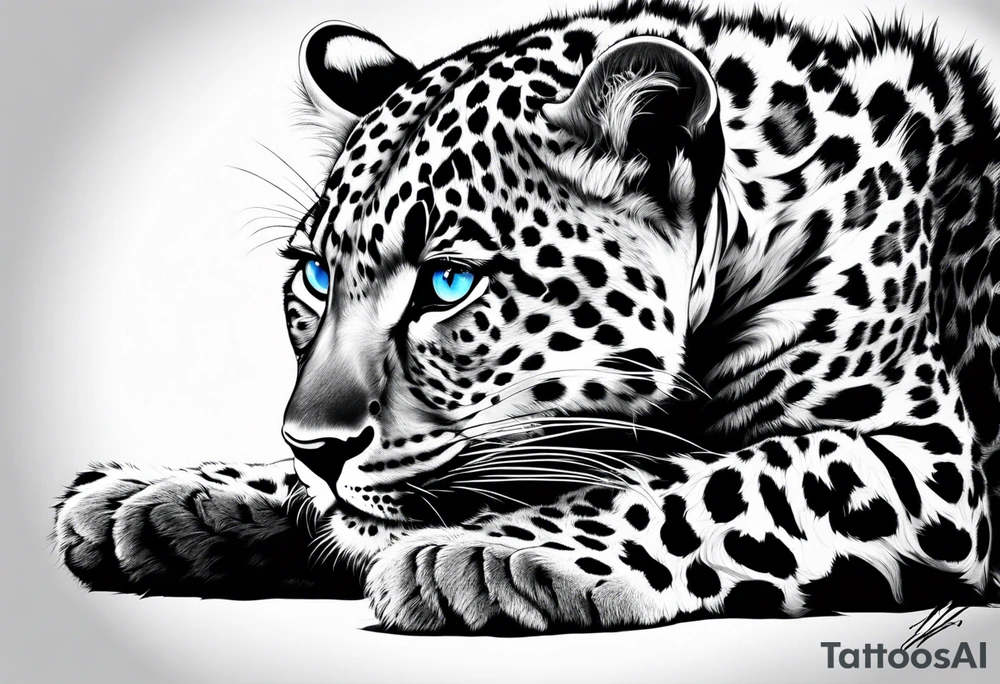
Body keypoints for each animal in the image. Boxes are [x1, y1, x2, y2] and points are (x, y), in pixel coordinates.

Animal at [55, 0, 1000, 633]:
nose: (316, 449)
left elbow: (735, 476)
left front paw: (491, 552)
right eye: (318, 276)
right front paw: (159, 494)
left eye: (446, 283)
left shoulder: (929, 457)